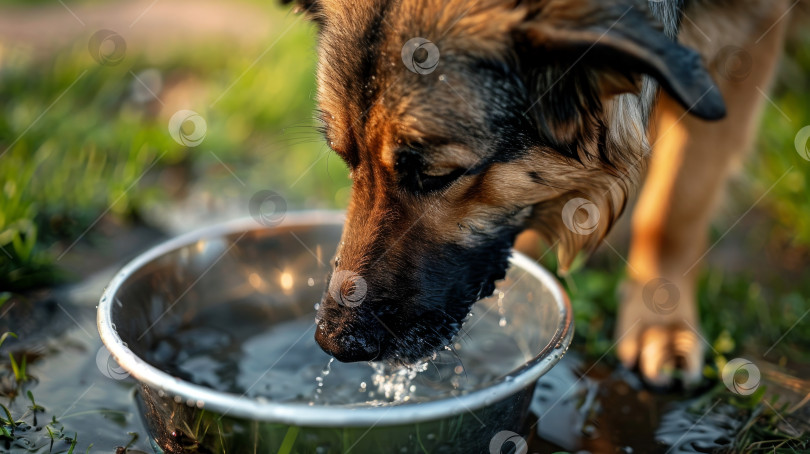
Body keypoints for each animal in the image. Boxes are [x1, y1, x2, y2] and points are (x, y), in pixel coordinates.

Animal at [280, 0, 800, 388]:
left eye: (435, 176)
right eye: (346, 158)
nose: (335, 341)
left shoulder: (741, 45)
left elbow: (675, 208)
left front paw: (661, 321)